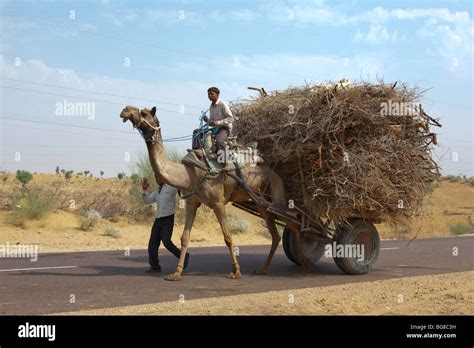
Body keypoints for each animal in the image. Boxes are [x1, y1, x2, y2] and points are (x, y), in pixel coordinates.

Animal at [120, 105, 310, 280]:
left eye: (144, 113)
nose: (125, 110)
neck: (187, 174)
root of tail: (275, 172)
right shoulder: (192, 203)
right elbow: (184, 237)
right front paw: (176, 273)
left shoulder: (218, 202)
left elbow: (227, 236)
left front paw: (236, 272)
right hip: (262, 203)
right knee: (277, 234)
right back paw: (263, 269)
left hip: (276, 191)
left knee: (293, 222)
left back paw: (304, 263)